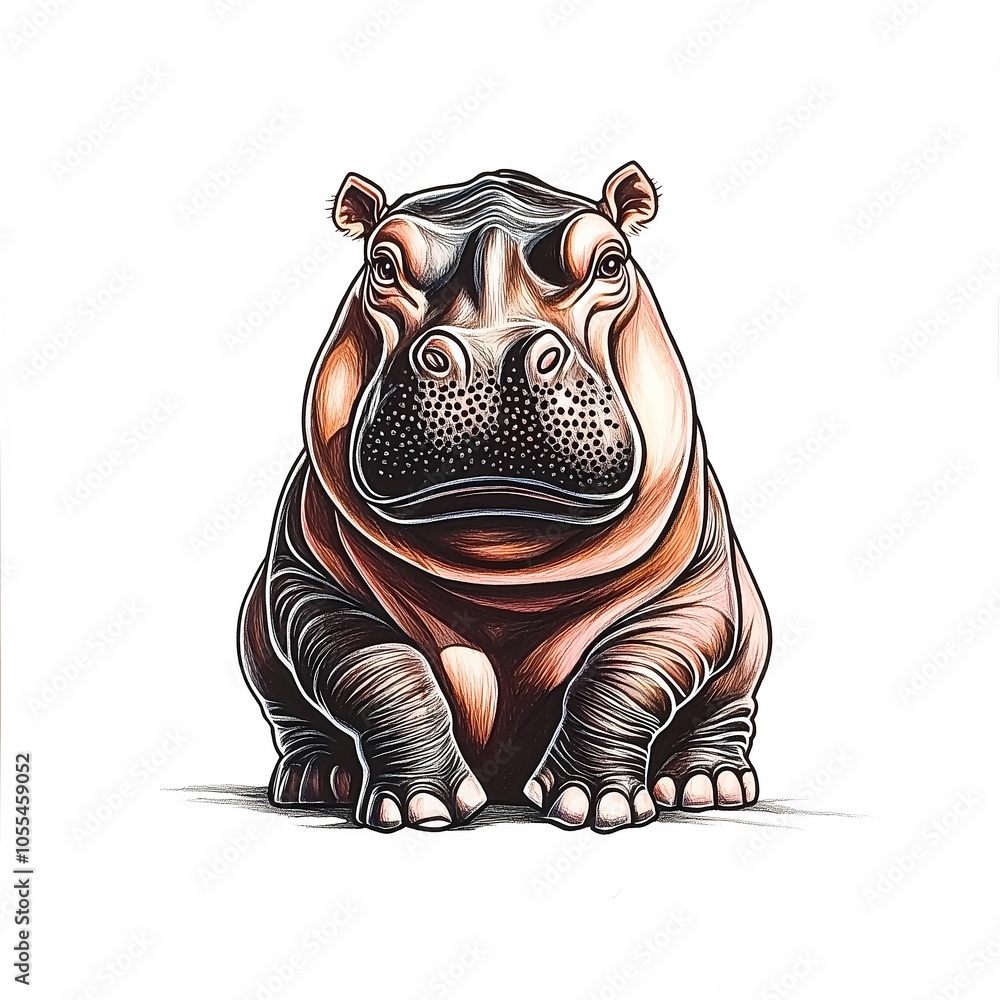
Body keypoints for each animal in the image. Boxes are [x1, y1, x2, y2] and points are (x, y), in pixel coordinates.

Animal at [238, 162, 771, 833]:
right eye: (382, 262)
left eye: (611, 260)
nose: (490, 352)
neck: (502, 556)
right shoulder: (306, 587)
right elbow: (379, 671)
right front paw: (420, 807)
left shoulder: (698, 596)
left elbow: (624, 673)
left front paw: (596, 803)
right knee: (293, 714)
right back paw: (316, 780)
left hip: (746, 651)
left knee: (724, 712)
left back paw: (708, 786)